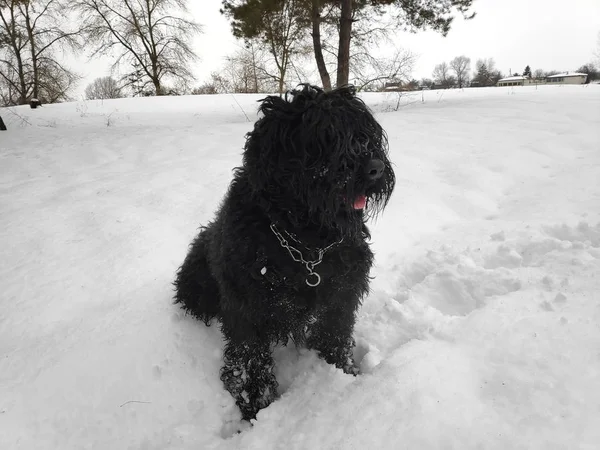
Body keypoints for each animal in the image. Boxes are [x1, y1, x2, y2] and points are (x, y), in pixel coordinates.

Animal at [173, 85, 396, 422]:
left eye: (365, 133)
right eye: (325, 136)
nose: (375, 167)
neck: (306, 243)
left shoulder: (341, 293)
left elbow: (335, 336)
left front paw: (343, 375)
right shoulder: (247, 307)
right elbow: (249, 362)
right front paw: (254, 408)